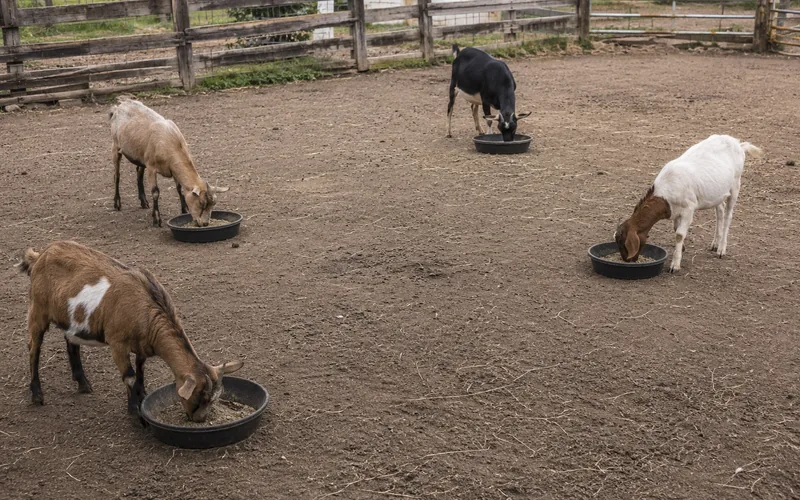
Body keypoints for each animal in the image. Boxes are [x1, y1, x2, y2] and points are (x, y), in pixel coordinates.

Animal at [17, 240, 243, 422]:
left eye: (214, 397)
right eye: (199, 396)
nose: (199, 420)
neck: (147, 310)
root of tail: (41, 255)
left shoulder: (142, 346)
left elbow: (141, 372)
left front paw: (142, 396)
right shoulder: (117, 344)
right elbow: (130, 376)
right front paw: (134, 411)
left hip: (71, 319)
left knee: (71, 343)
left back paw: (83, 383)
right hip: (37, 309)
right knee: (33, 348)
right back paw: (37, 395)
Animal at [109, 98, 228, 227]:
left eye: (213, 204)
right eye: (201, 203)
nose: (205, 223)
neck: (170, 142)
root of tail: (119, 106)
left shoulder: (172, 168)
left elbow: (179, 188)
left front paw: (184, 210)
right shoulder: (151, 167)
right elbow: (155, 192)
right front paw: (156, 219)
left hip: (141, 155)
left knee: (138, 174)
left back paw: (144, 202)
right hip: (116, 146)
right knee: (116, 175)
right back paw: (117, 203)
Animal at [615, 135, 763, 272]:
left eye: (623, 243)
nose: (627, 260)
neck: (666, 192)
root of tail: (738, 143)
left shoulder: (688, 209)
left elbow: (679, 234)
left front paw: (675, 265)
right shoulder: (676, 211)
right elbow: (676, 229)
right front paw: (682, 248)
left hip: (736, 184)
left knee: (728, 216)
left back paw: (721, 249)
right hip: (718, 192)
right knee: (720, 210)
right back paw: (715, 243)